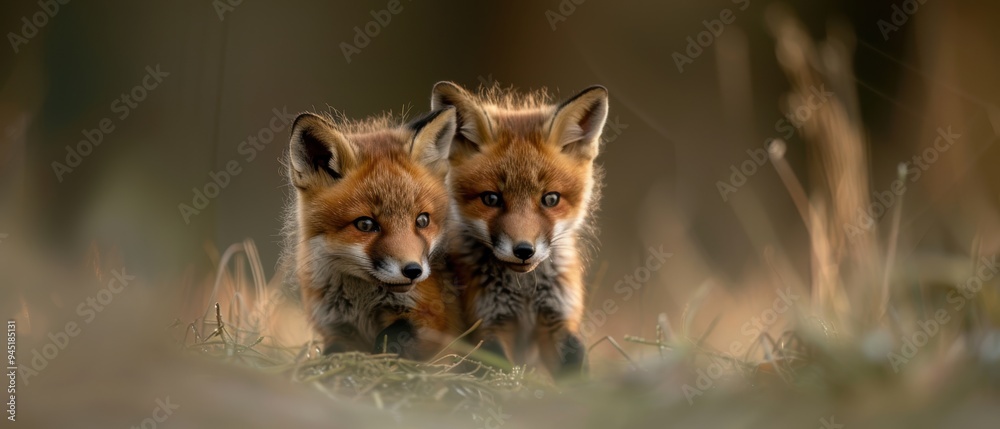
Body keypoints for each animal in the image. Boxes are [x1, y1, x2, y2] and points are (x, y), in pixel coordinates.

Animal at [283, 107, 463, 360]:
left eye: (422, 220)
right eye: (365, 225)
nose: (413, 271)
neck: (362, 304)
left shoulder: (433, 317)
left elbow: (391, 338)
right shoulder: (337, 328)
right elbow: (334, 354)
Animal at [430, 82, 609, 378]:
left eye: (551, 199)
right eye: (491, 199)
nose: (524, 250)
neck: (525, 291)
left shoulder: (558, 317)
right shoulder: (487, 324)